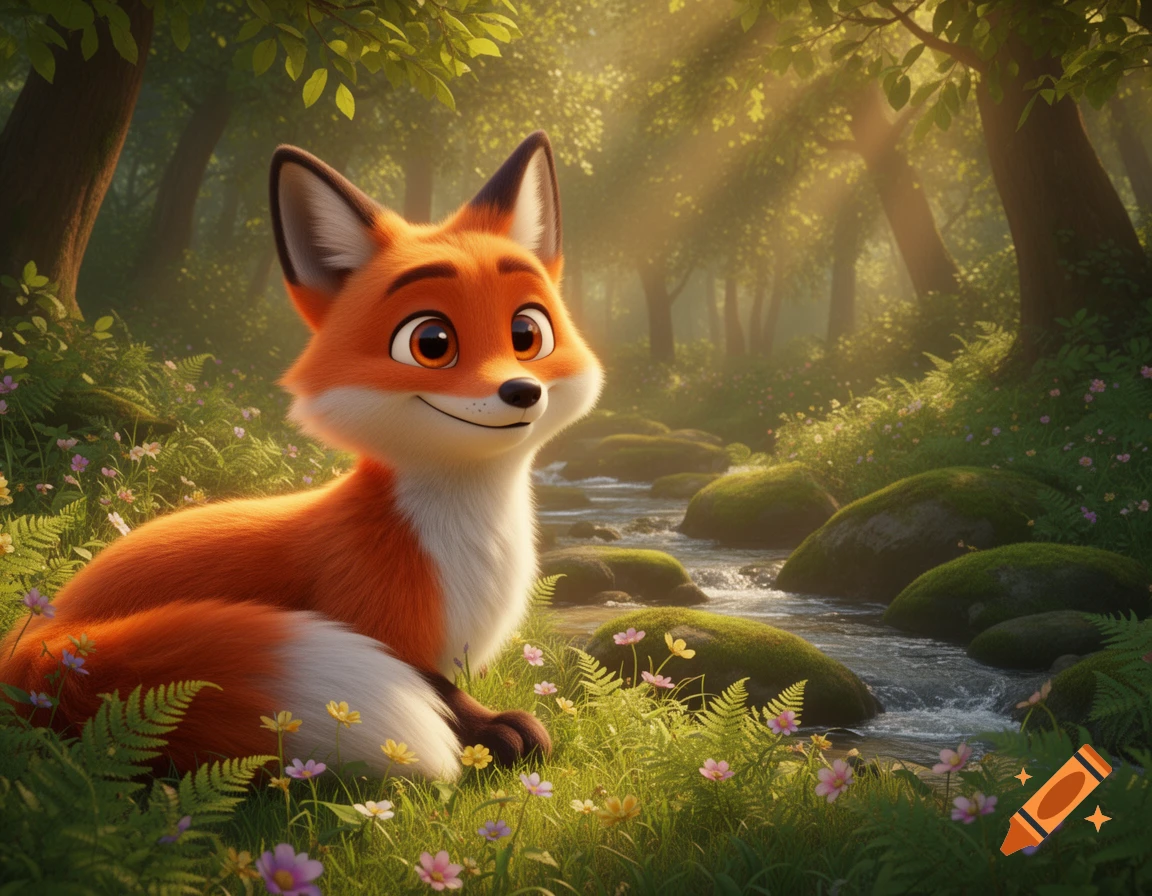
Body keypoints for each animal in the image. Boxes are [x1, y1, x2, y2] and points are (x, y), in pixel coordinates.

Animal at [0, 131, 603, 780]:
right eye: (431, 342)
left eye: (527, 334)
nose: (522, 391)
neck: (461, 541)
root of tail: (35, 635)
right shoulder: (367, 613)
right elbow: (443, 694)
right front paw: (494, 733)